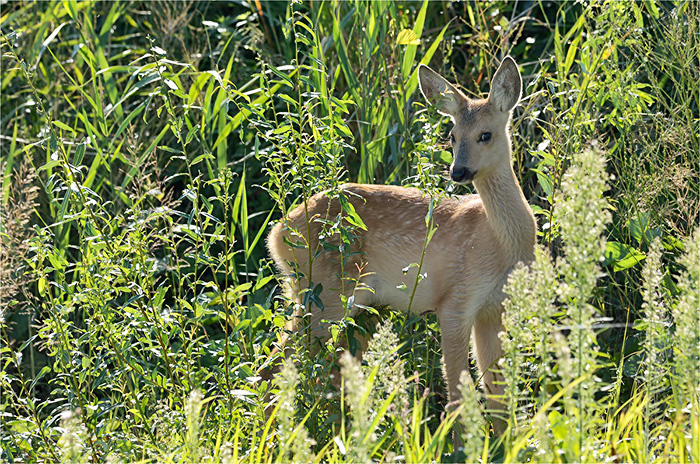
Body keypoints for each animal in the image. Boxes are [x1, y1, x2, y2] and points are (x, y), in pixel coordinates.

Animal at [264, 56, 536, 436]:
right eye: (451, 136)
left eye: (486, 134)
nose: (458, 172)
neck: (502, 243)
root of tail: (277, 233)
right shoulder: (455, 300)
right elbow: (457, 394)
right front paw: (461, 444)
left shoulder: (493, 309)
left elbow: (496, 392)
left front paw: (505, 442)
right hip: (325, 294)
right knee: (278, 364)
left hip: (356, 307)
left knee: (328, 372)